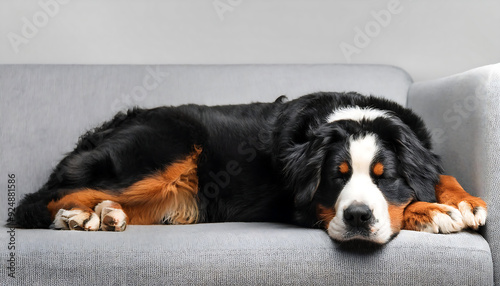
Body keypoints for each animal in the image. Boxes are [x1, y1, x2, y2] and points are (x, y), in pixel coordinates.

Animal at [13, 92, 486, 245]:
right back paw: (76, 216)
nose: (357, 218)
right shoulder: (305, 207)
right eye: (337, 175)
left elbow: (440, 174)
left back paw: (105, 214)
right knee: (35, 200)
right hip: (169, 146)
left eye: (385, 176)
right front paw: (434, 211)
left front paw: (463, 201)